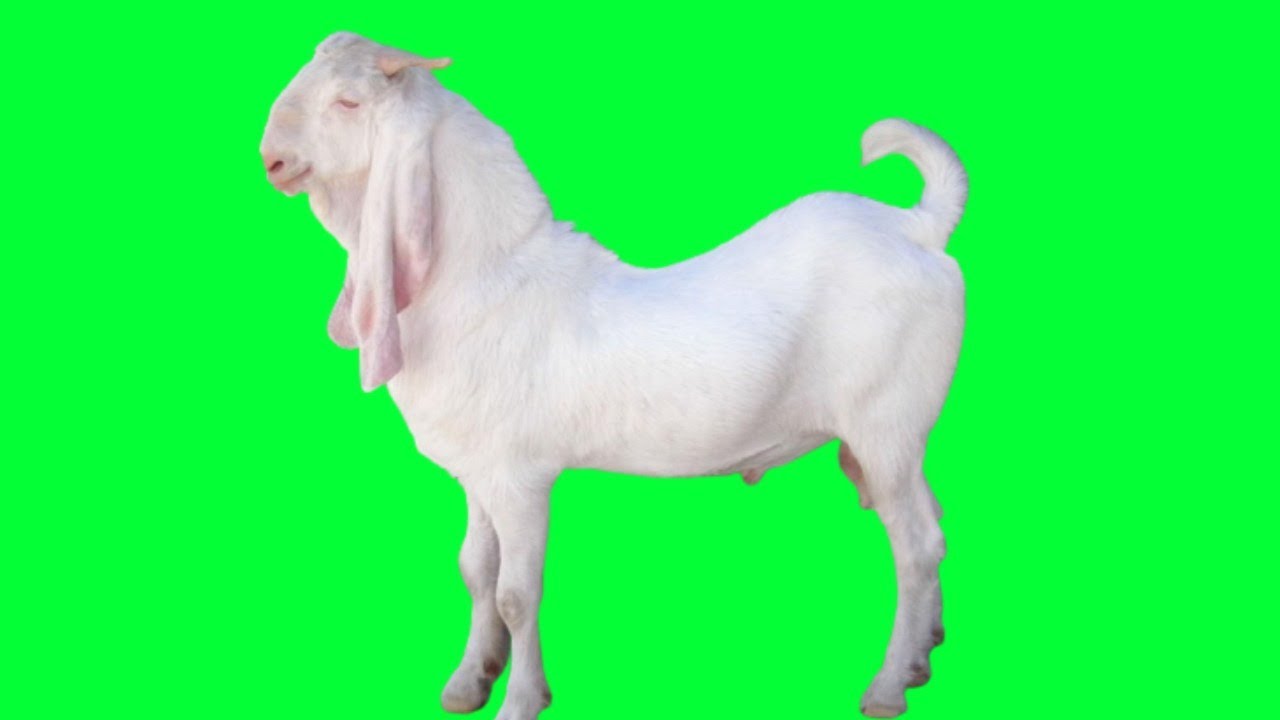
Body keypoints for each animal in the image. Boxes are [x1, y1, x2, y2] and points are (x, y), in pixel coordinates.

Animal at [261, 31, 967, 719]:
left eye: (348, 103)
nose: (271, 159)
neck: (487, 279)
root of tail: (918, 226)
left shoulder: (521, 478)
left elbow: (516, 593)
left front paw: (521, 701)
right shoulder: (477, 472)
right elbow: (475, 570)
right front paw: (468, 682)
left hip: (885, 426)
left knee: (916, 545)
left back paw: (888, 687)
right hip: (900, 438)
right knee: (933, 524)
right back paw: (924, 654)